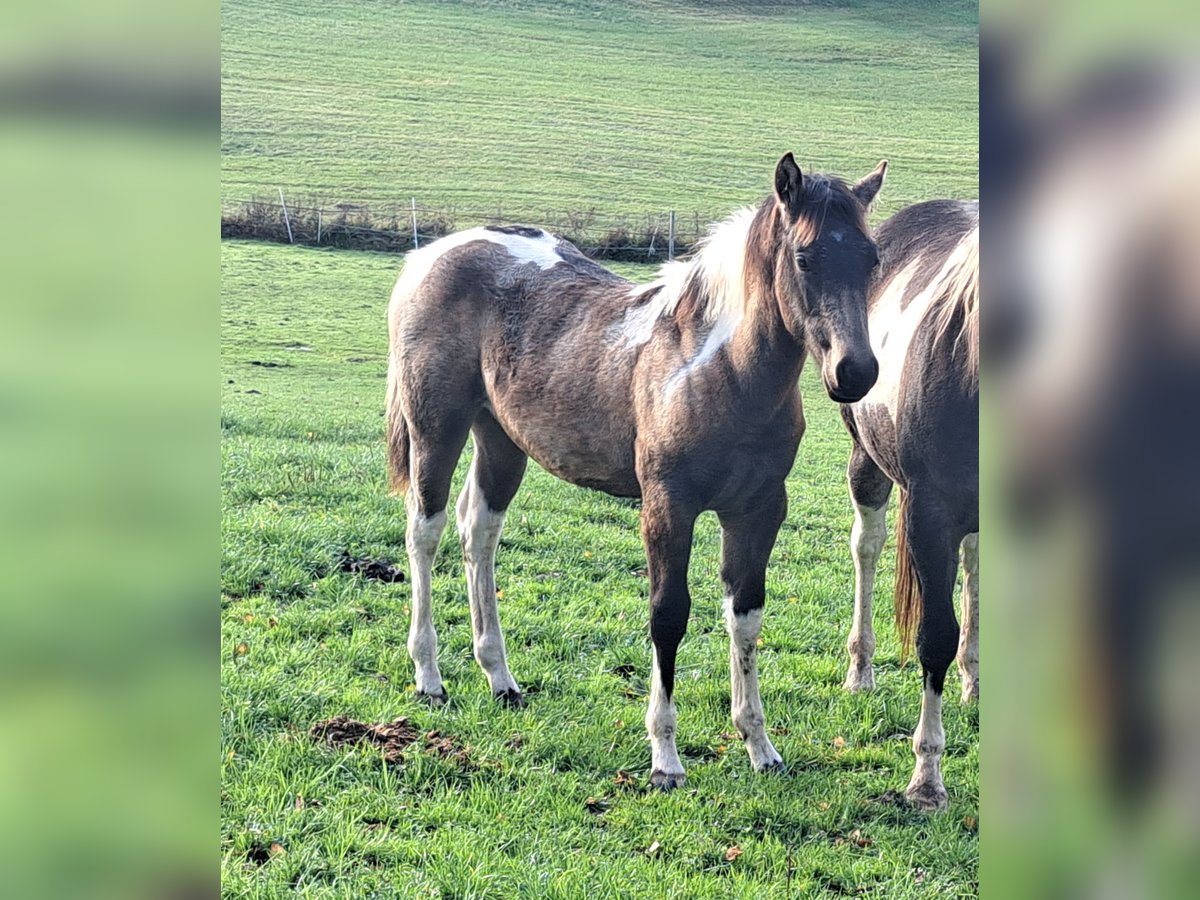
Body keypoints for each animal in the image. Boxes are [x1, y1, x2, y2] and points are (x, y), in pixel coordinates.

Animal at [388, 153, 888, 787]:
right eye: (804, 257)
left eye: (871, 259)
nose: (856, 372)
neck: (719, 370)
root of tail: (431, 254)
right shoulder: (668, 506)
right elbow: (668, 615)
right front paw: (665, 758)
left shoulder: (759, 510)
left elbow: (746, 616)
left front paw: (759, 745)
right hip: (436, 429)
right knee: (423, 532)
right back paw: (429, 676)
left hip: (500, 439)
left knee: (478, 532)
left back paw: (500, 677)